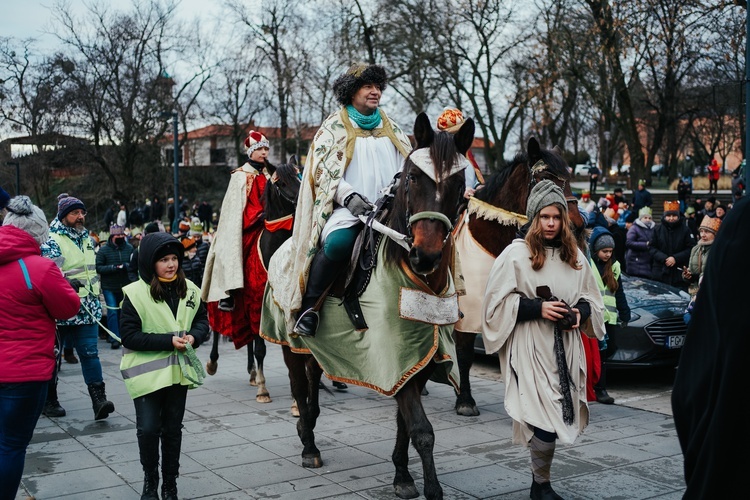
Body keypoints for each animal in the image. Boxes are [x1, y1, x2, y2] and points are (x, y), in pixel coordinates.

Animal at [204, 158, 302, 404]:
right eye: (281, 183)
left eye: (299, 177)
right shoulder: (257, 303)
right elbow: (261, 349)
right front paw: (263, 390)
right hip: (218, 298)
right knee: (216, 328)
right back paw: (212, 363)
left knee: (246, 335)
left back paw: (251, 372)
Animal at [264, 113, 476, 500]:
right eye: (412, 177)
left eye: (459, 182)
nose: (426, 255)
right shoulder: (395, 356)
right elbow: (421, 430)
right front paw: (431, 487)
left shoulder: (419, 359)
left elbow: (405, 425)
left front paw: (402, 475)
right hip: (289, 344)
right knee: (299, 386)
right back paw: (308, 445)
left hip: (318, 347)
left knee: (314, 377)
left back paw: (312, 422)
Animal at [450, 136, 592, 414]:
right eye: (545, 178)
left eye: (569, 178)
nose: (578, 226)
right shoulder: (468, 310)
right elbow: (464, 350)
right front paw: (465, 401)